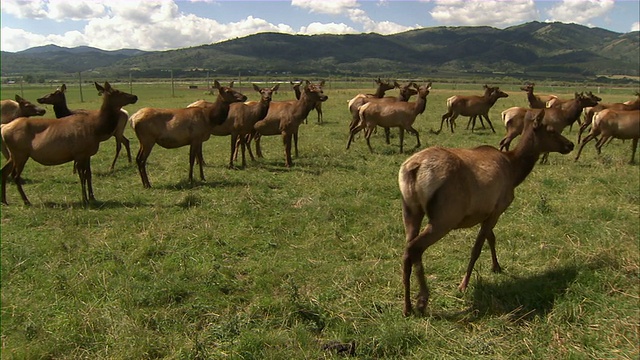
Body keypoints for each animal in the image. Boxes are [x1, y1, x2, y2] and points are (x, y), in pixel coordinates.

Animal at [1, 82, 138, 205]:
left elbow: (88, 175)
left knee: (4, 170)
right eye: (118, 92)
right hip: (20, 153)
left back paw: (4, 200)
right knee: (15, 175)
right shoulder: (79, 153)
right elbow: (82, 176)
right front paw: (84, 199)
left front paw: (92, 197)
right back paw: (26, 201)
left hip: (14, 154)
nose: (135, 96)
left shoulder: (87, 154)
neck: (96, 129)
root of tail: (4, 129)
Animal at [400, 109, 576, 316]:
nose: (570, 144)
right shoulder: (499, 207)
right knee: (415, 248)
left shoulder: (487, 211)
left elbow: (491, 238)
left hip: (410, 209)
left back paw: (407, 306)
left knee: (407, 251)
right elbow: (477, 248)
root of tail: (413, 169)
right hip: (446, 215)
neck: (514, 172)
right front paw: (463, 284)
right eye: (551, 130)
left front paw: (496, 266)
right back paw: (422, 300)